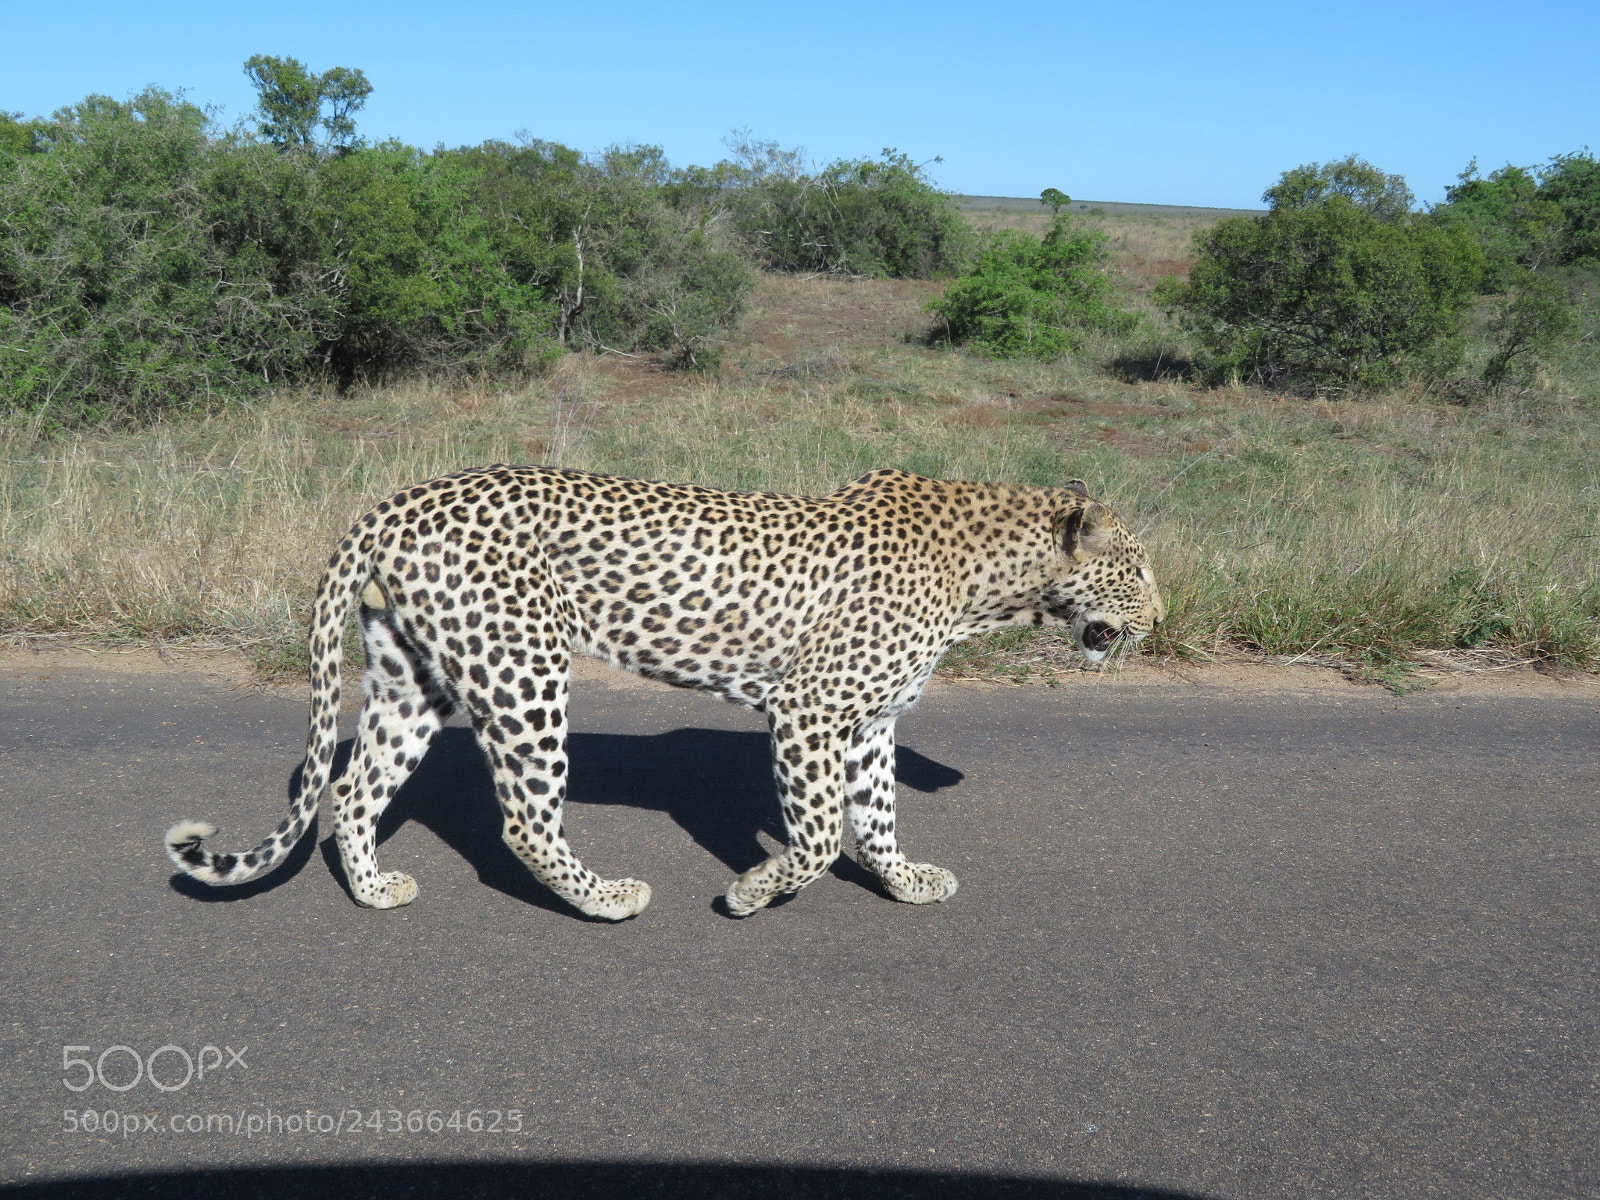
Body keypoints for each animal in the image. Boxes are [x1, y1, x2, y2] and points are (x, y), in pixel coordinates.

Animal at [165, 465, 1164, 920]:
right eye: (1139, 566)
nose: (1161, 616)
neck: (994, 584)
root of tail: (401, 497)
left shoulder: (870, 719)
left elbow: (875, 817)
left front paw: (906, 881)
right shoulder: (809, 711)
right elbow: (818, 835)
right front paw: (754, 892)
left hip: (412, 677)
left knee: (352, 787)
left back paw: (375, 890)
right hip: (526, 672)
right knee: (523, 820)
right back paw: (607, 897)